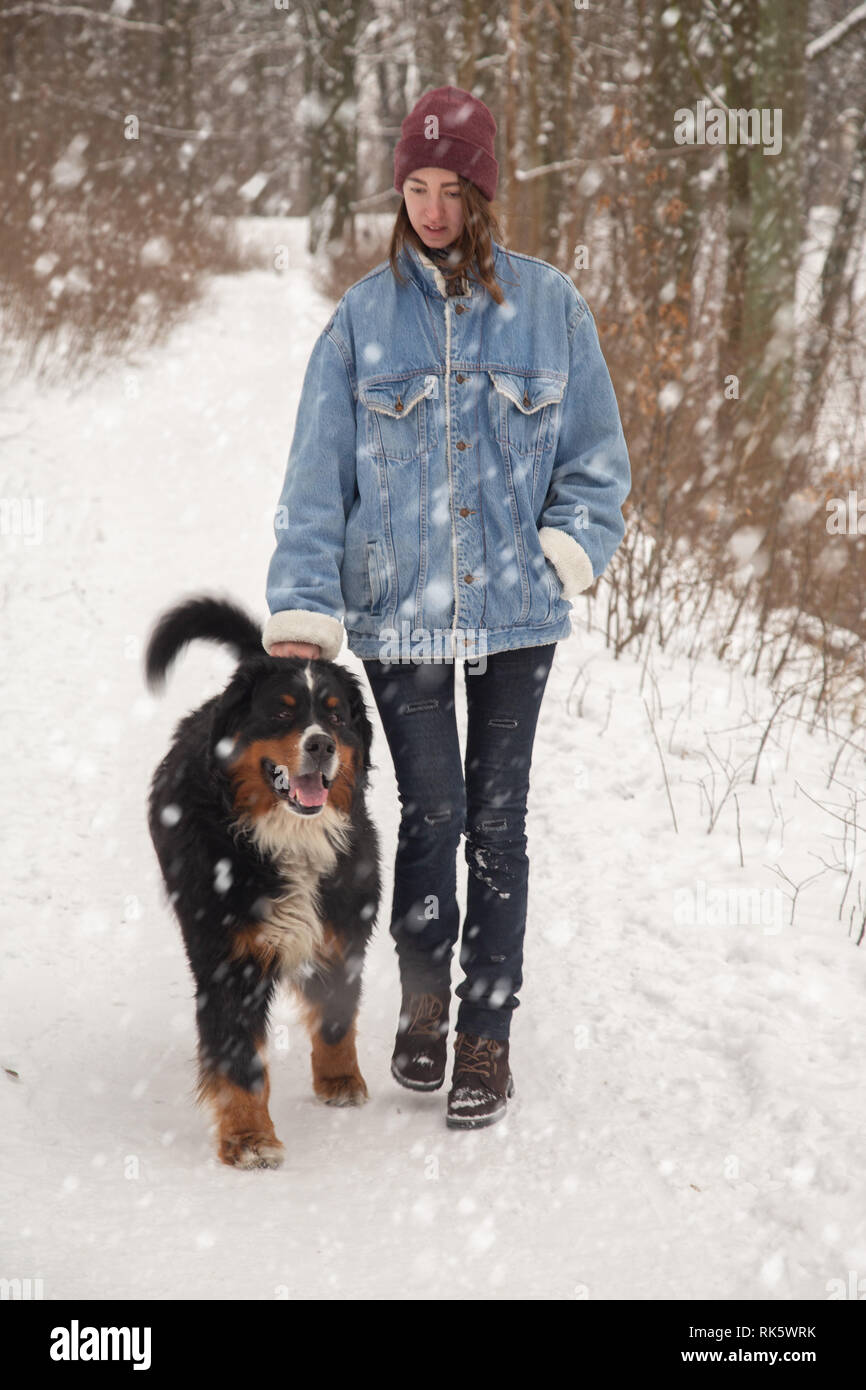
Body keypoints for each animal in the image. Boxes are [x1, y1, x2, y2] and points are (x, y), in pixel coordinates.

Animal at [143, 592, 380, 1167]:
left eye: (335, 716)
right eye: (283, 711)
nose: (321, 745)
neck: (290, 838)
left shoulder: (343, 928)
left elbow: (337, 1016)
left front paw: (339, 1080)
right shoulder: (230, 960)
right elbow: (239, 1061)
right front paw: (250, 1139)